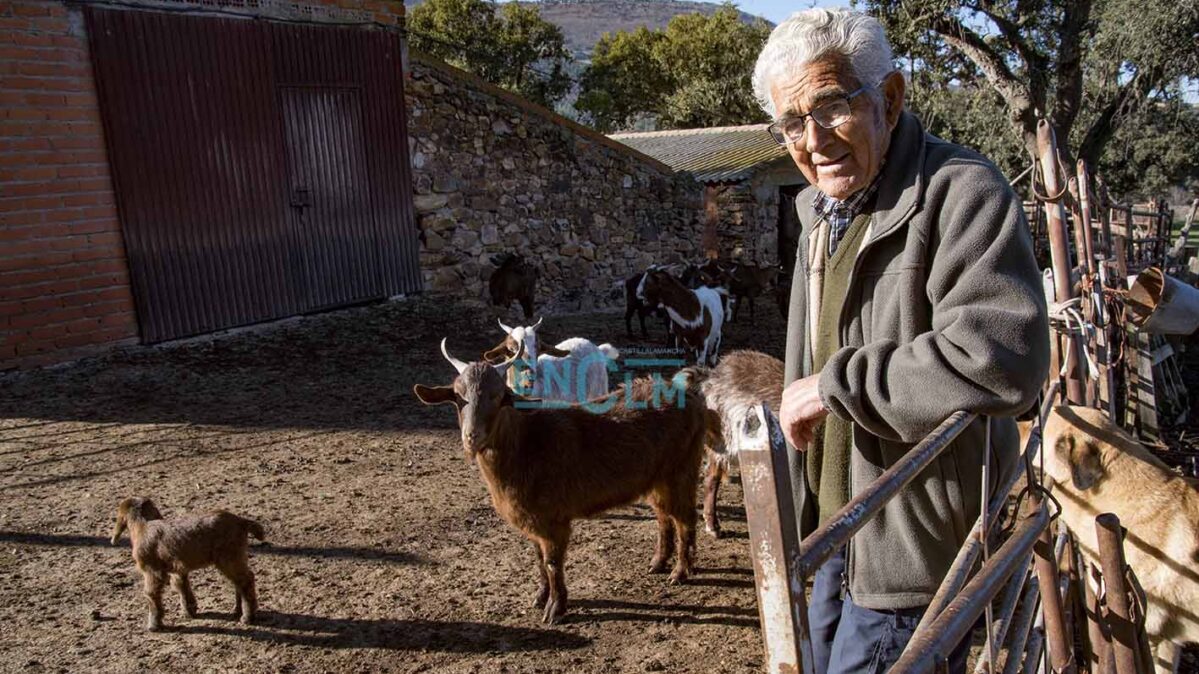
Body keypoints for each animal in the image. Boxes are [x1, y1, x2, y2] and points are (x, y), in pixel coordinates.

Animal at [109, 494, 264, 628]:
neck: (143, 526)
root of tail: (242, 522)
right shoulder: (178, 568)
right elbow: (181, 585)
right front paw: (189, 611)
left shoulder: (152, 570)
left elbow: (151, 593)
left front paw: (154, 625)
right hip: (235, 556)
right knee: (239, 580)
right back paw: (237, 611)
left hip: (229, 557)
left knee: (246, 579)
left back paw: (247, 617)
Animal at [414, 338, 705, 623]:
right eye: (457, 397)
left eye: (499, 397)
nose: (472, 437)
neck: (527, 444)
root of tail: (686, 393)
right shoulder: (533, 522)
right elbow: (539, 560)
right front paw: (540, 597)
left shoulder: (554, 520)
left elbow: (553, 563)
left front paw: (555, 609)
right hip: (656, 479)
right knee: (664, 516)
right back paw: (658, 563)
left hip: (681, 471)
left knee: (685, 518)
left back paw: (680, 572)